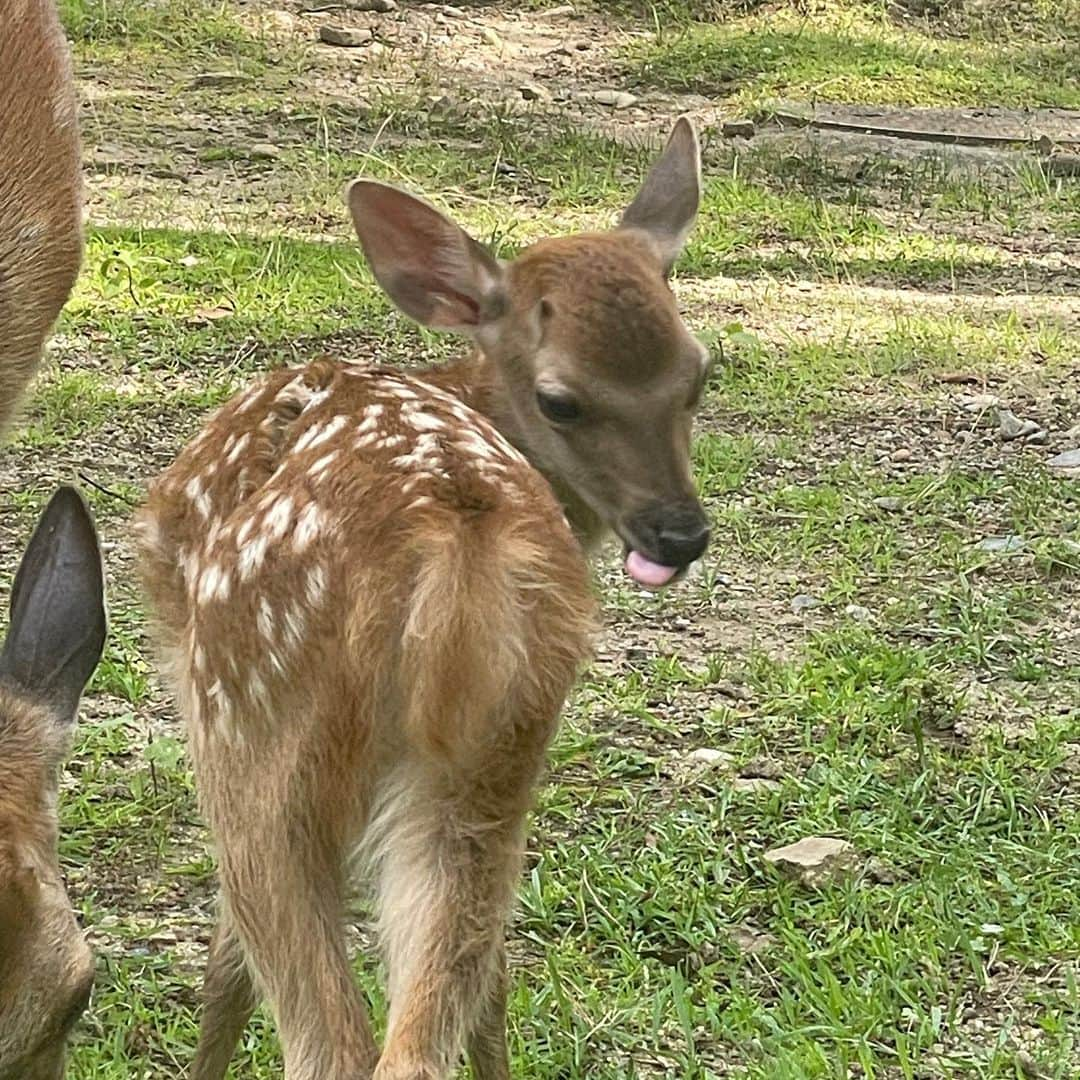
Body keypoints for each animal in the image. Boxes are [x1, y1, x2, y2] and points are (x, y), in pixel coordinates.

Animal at [135, 113, 708, 1075]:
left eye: (698, 376)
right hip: (496, 751)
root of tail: (453, 544)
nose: (681, 533)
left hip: (248, 728)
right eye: (560, 400)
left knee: (327, 1036)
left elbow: (223, 968)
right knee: (440, 1007)